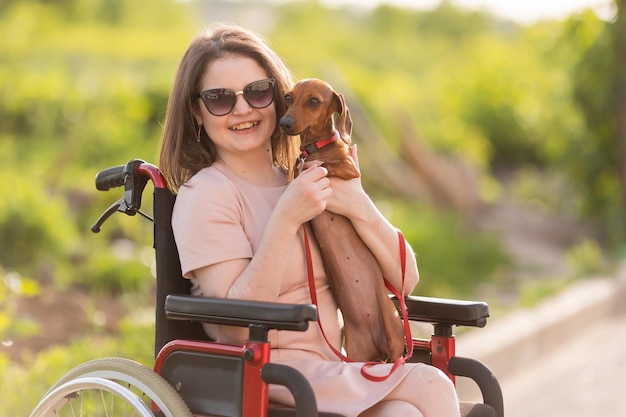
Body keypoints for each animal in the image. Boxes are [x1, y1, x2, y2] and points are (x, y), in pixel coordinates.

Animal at [278, 79, 404, 360]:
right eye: (288, 97)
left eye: (314, 101)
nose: (284, 123)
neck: (316, 147)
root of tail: (379, 346)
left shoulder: (350, 168)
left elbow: (325, 166)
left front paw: (313, 167)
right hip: (356, 352)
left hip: (395, 334)